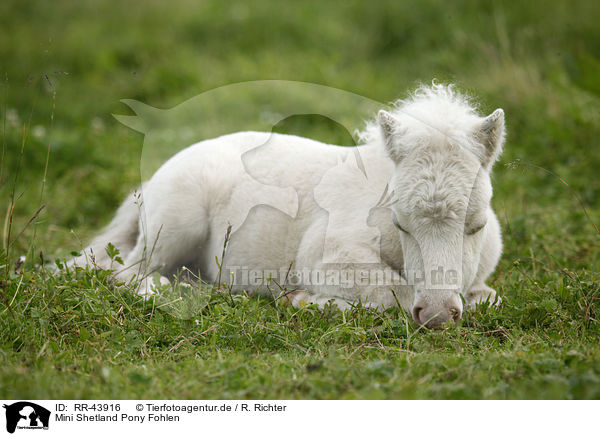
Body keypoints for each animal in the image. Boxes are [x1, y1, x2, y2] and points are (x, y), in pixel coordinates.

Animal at [76, 83, 506, 328]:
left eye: (476, 225)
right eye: (401, 224)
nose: (436, 315)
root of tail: (152, 180)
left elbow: (488, 298)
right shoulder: (326, 256)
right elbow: (392, 294)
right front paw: (305, 301)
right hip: (176, 223)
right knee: (129, 274)